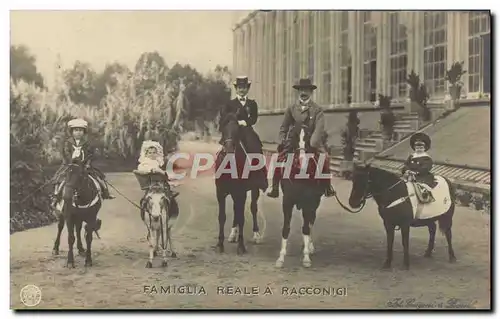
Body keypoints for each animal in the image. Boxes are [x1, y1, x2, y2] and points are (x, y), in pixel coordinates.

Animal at [214, 112, 264, 255]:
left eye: (237, 131)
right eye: (223, 129)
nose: (229, 150)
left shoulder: (241, 193)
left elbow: (242, 218)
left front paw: (241, 246)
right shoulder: (220, 193)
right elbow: (222, 217)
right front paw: (220, 244)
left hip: (253, 190)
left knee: (253, 208)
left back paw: (256, 234)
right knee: (236, 210)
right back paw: (233, 234)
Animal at [276, 124, 326, 268]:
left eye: (308, 137)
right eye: (293, 136)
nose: (302, 162)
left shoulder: (309, 203)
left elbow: (306, 228)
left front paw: (306, 257)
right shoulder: (287, 202)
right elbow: (286, 228)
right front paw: (281, 258)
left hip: (315, 203)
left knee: (310, 222)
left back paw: (309, 246)